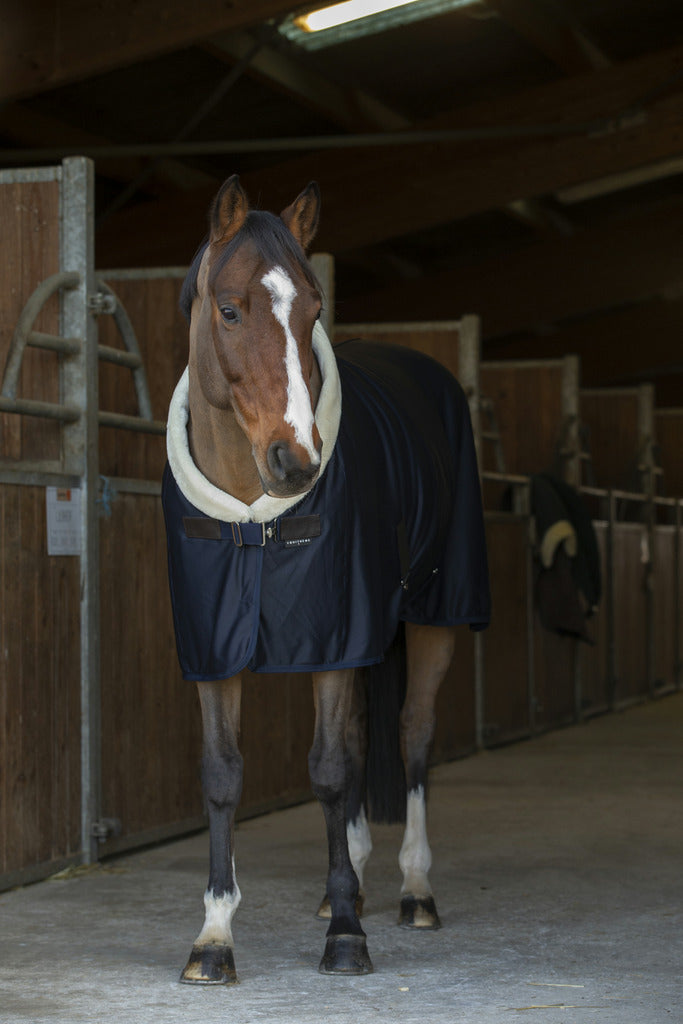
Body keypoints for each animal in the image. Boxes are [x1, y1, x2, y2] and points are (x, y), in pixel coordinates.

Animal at [162, 176, 489, 983]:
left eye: (313, 309)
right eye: (230, 308)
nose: (296, 461)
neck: (253, 522)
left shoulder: (335, 638)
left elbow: (333, 769)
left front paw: (346, 934)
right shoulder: (214, 647)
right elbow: (223, 774)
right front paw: (213, 938)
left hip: (432, 618)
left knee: (411, 736)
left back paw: (412, 890)